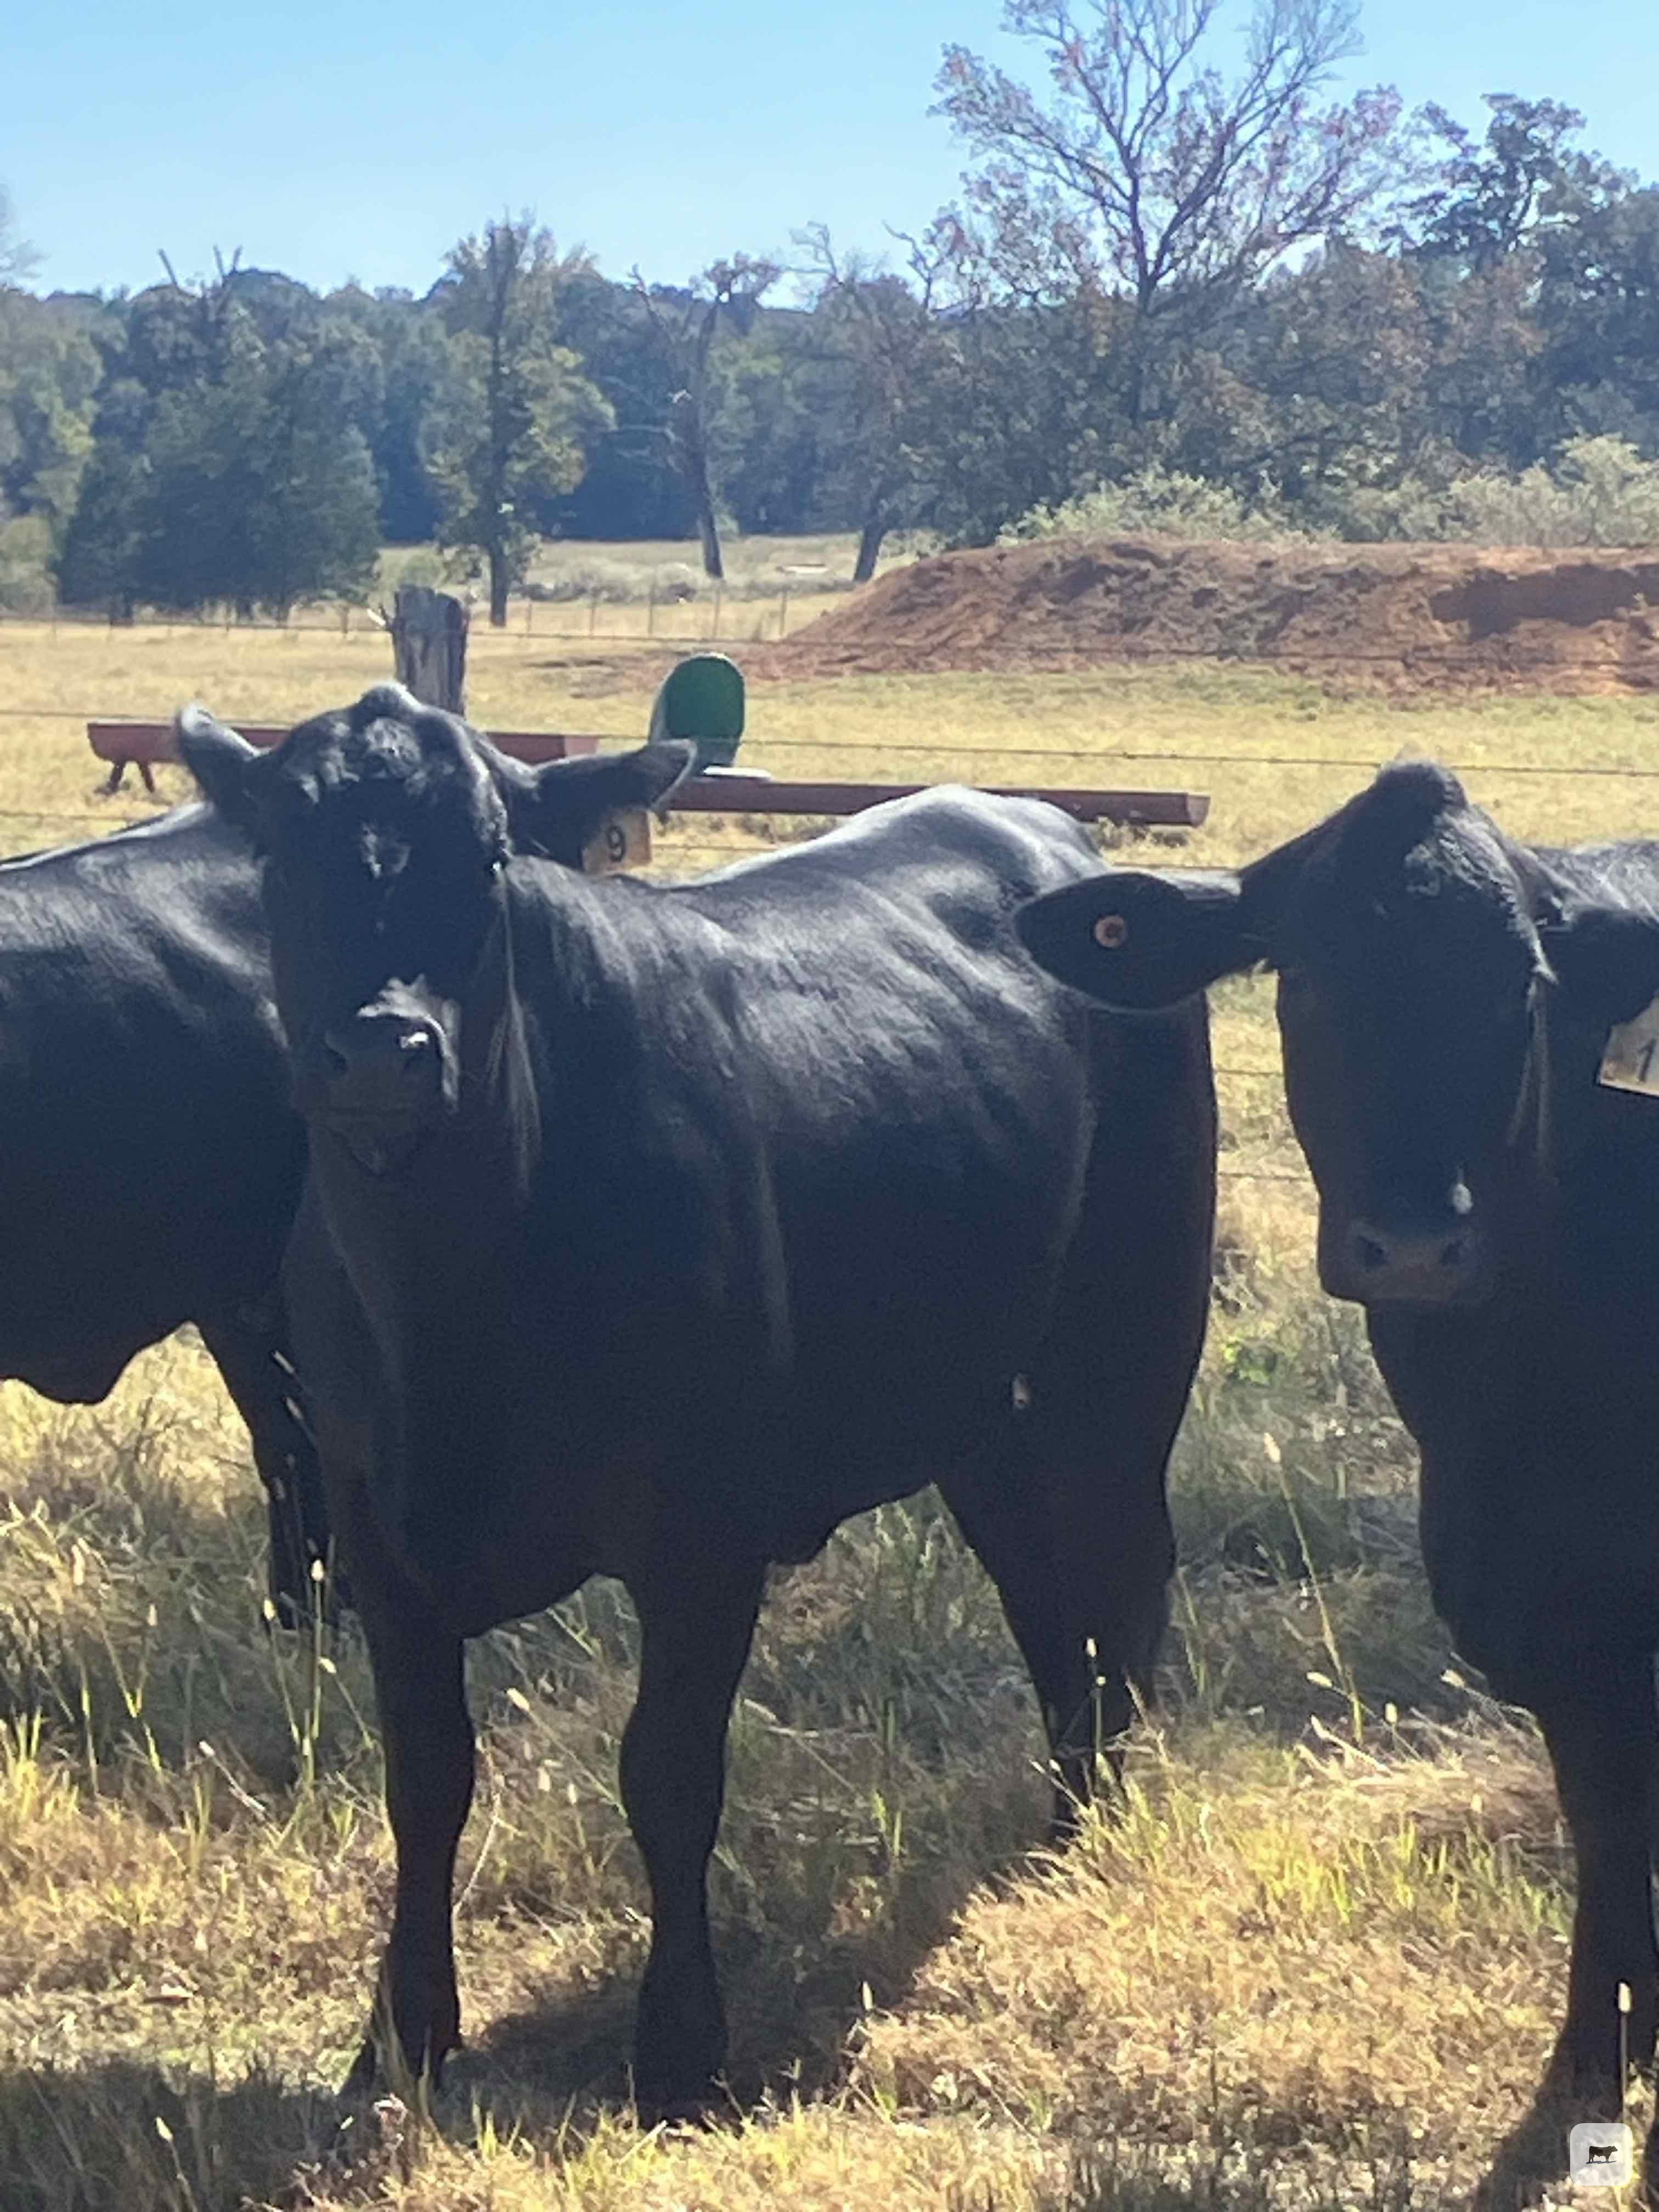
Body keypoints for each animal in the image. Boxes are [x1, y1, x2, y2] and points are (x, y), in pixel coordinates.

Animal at [177, 682, 1217, 2113]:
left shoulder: (704, 1534)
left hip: (1129, 1344)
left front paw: (677, 2048)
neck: (453, 1311)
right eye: (282, 857)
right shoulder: (377, 1534)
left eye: (489, 859)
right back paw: (1063, 1813)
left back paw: (1108, 1808)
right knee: (1036, 1582)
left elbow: (666, 1776)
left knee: (1126, 1566)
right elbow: (426, 1780)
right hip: (976, 1399)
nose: (384, 1052)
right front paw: (400, 2041)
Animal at [1015, 758, 1659, 2114]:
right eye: (1302, 976)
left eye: (1522, 988)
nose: (1412, 1248)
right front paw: (1596, 2053)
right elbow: (1608, 1837)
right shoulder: (1559, 1625)